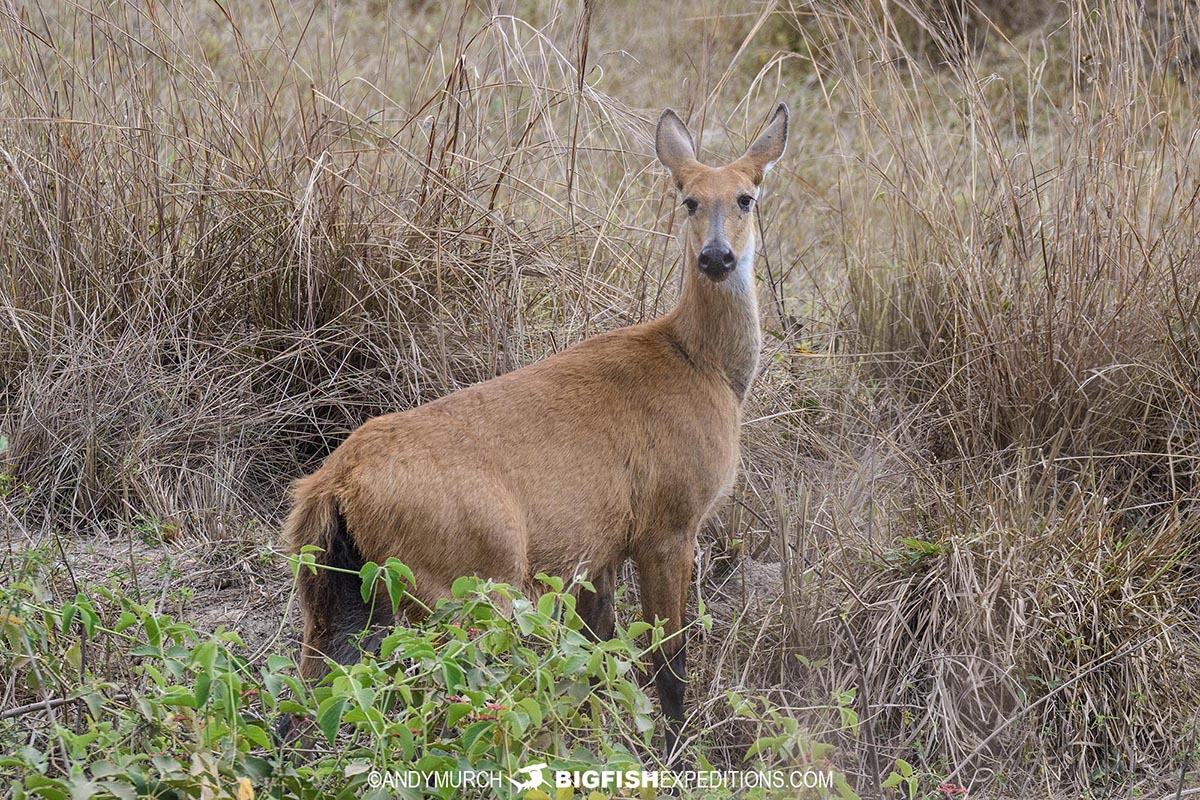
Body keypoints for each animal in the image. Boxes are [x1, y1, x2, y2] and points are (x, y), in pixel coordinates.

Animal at [280, 103, 787, 762]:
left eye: (747, 197)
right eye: (689, 199)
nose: (717, 258)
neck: (704, 366)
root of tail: (334, 483)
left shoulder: (598, 549)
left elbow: (596, 660)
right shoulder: (669, 524)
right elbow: (667, 664)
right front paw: (676, 757)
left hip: (335, 596)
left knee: (305, 706)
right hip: (470, 580)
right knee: (459, 700)